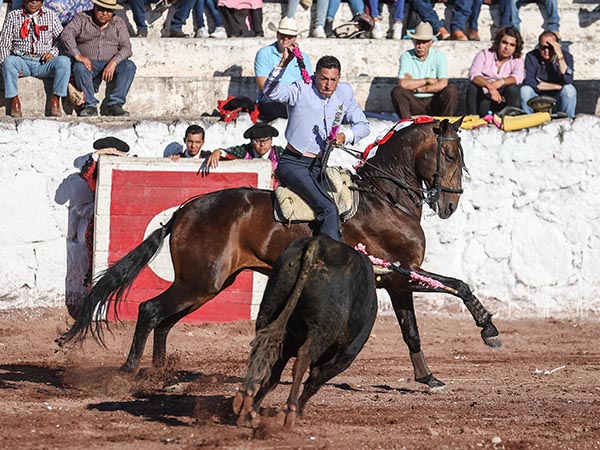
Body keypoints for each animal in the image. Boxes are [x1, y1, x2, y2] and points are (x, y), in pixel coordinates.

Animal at [59, 117, 502, 390]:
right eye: (450, 154)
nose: (450, 205)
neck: (385, 198)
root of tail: (184, 210)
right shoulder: (399, 274)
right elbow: (442, 300)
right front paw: (485, 331)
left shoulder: (399, 278)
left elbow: (431, 311)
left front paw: (432, 375)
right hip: (200, 282)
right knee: (150, 311)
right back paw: (130, 371)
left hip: (210, 284)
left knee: (163, 321)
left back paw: (159, 373)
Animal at [233, 236, 378, 428]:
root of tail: (318, 244)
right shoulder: (347, 353)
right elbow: (314, 380)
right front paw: (299, 409)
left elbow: (273, 377)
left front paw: (253, 409)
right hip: (323, 330)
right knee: (303, 358)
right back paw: (289, 411)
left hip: (269, 309)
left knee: (262, 349)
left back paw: (245, 402)